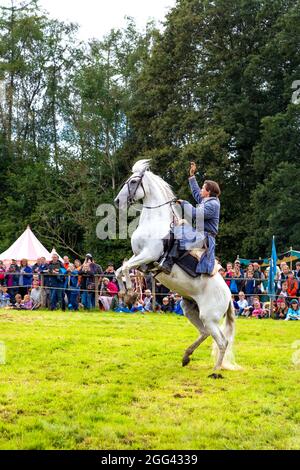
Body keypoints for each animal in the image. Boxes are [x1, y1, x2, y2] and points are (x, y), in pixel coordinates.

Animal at [113, 160, 240, 372]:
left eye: (133, 182)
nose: (117, 201)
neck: (155, 222)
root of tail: (229, 296)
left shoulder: (148, 255)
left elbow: (124, 269)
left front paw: (130, 294)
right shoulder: (139, 257)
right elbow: (120, 270)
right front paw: (125, 294)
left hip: (210, 317)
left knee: (222, 342)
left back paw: (215, 371)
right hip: (190, 309)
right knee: (205, 333)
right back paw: (186, 356)